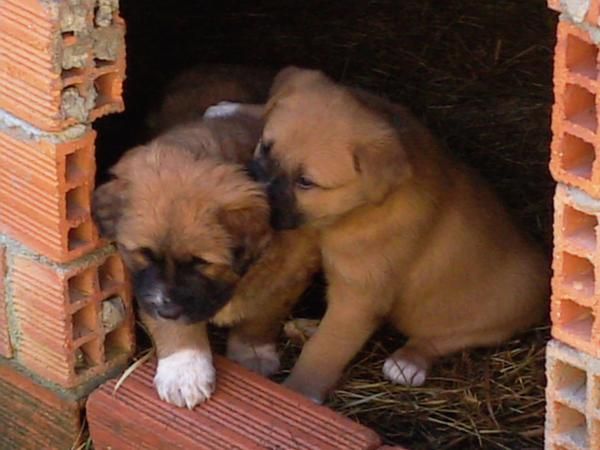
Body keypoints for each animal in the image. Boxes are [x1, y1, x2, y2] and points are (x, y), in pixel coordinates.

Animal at [92, 66, 324, 408]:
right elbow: (175, 326)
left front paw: (253, 352)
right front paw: (184, 371)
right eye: (145, 254)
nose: (167, 310)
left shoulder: (293, 270)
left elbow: (264, 313)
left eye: (201, 262)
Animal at [210, 67, 548, 404]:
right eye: (265, 147)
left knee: (442, 339)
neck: (349, 215)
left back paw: (408, 361)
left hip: (497, 313)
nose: (253, 196)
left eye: (306, 182)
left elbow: (325, 349)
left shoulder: (359, 297)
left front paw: (300, 393)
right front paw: (230, 107)